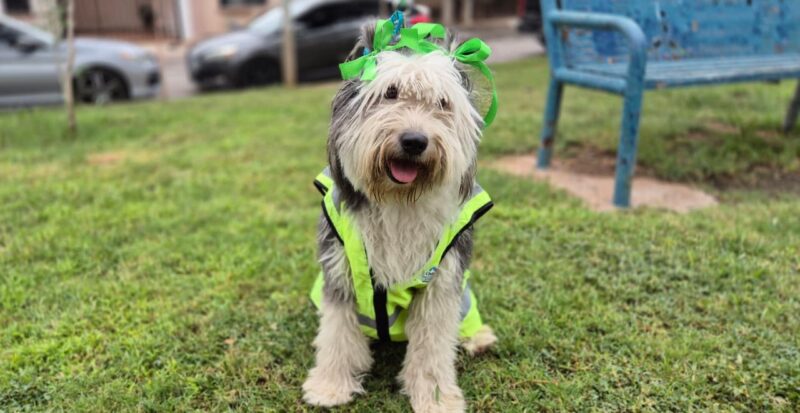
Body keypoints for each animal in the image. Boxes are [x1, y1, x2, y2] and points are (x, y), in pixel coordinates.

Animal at [303, 21, 497, 412]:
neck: (398, 200)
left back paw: (479, 337)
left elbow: (433, 347)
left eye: (442, 103)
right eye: (389, 93)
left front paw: (436, 398)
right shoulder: (340, 271)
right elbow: (337, 334)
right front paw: (330, 386)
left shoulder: (442, 283)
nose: (414, 141)